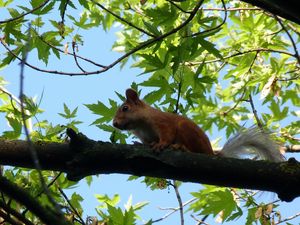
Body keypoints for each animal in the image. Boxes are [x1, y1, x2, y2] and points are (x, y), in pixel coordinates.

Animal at [112, 88, 284, 162]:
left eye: (125, 108)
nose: (114, 124)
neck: (140, 126)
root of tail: (211, 153)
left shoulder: (163, 123)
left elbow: (167, 135)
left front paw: (161, 144)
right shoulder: (144, 136)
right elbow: (146, 142)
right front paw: (142, 144)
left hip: (186, 130)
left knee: (195, 150)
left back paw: (180, 147)